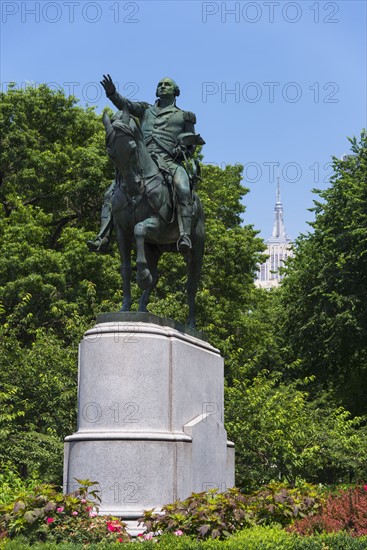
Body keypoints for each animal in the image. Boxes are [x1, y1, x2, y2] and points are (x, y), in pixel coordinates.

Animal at [102, 110, 206, 330]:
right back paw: (142, 308)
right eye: (111, 152)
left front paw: (142, 277)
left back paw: (191, 325)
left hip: (195, 251)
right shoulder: (122, 232)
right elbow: (125, 267)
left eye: (133, 148)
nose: (134, 185)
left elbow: (139, 229)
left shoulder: (159, 225)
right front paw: (125, 307)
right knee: (156, 276)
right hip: (154, 248)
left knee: (191, 285)